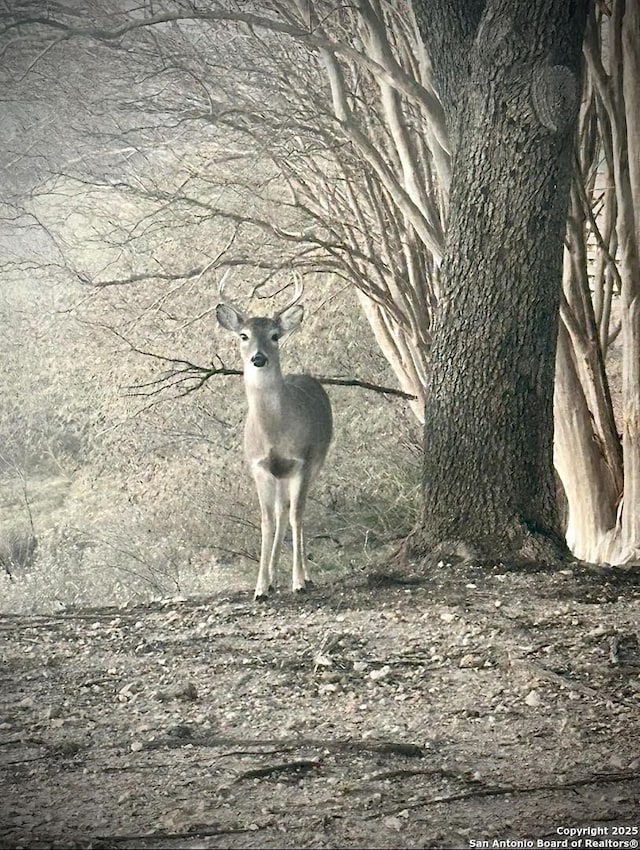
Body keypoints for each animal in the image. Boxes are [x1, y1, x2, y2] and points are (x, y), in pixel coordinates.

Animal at [216, 274, 332, 600]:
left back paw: (302, 576)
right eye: (243, 335)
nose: (259, 358)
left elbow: (297, 516)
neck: (274, 434)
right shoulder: (259, 466)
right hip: (279, 475)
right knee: (280, 513)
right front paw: (260, 587)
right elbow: (266, 522)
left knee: (293, 512)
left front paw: (299, 581)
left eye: (275, 335)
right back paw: (271, 577)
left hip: (317, 459)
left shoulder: (301, 461)